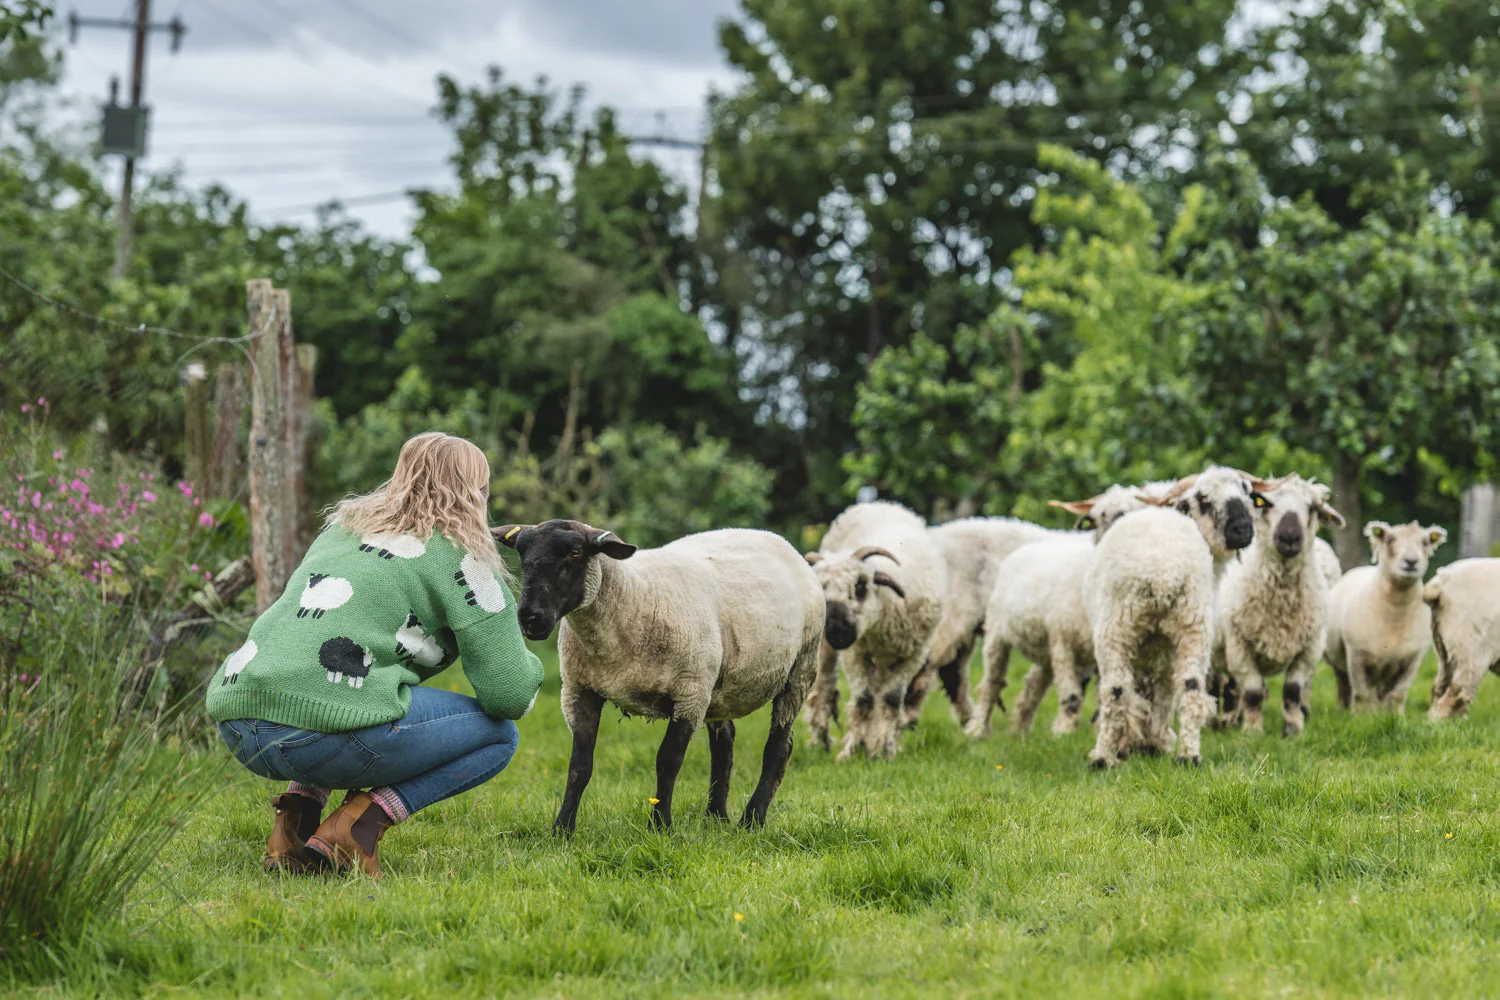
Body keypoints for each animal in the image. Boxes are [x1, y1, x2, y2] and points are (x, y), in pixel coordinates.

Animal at [494, 520, 825, 832]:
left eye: (575, 552)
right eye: (522, 553)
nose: (530, 618)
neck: (631, 596)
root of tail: (776, 539)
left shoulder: (689, 695)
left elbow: (667, 761)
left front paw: (660, 825)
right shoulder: (580, 691)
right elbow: (579, 767)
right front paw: (562, 829)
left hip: (800, 669)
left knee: (778, 748)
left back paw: (752, 819)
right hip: (718, 685)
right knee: (724, 744)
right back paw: (716, 815)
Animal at [801, 501, 947, 761]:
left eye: (860, 587)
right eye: (823, 589)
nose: (836, 632)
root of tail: (879, 502)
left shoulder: (914, 654)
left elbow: (891, 699)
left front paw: (884, 750)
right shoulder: (856, 652)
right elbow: (864, 699)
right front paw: (852, 750)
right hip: (828, 649)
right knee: (824, 686)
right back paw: (821, 743)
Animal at [1059, 467, 1258, 767]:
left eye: (1247, 492)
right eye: (1204, 499)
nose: (1244, 529)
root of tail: (1165, 571)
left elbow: (1140, 694)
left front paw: (1135, 743)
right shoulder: (1161, 647)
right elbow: (1161, 694)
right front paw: (1152, 742)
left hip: (1116, 629)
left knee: (1115, 691)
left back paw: (1103, 757)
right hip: (1193, 626)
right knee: (1190, 689)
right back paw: (1188, 755)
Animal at [1212, 475, 1346, 736]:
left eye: (1311, 507)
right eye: (1266, 504)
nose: (1290, 537)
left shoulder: (1308, 648)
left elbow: (1292, 691)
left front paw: (1293, 729)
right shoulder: (1240, 646)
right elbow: (1252, 691)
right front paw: (1252, 731)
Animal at [1325, 520, 1448, 713]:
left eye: (1425, 542)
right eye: (1390, 539)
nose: (1411, 561)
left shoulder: (1412, 659)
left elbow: (1397, 695)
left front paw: (1395, 716)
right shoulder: (1357, 655)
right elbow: (1361, 695)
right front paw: (1361, 717)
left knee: (1381, 694)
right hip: (1338, 660)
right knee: (1344, 687)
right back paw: (1343, 711)